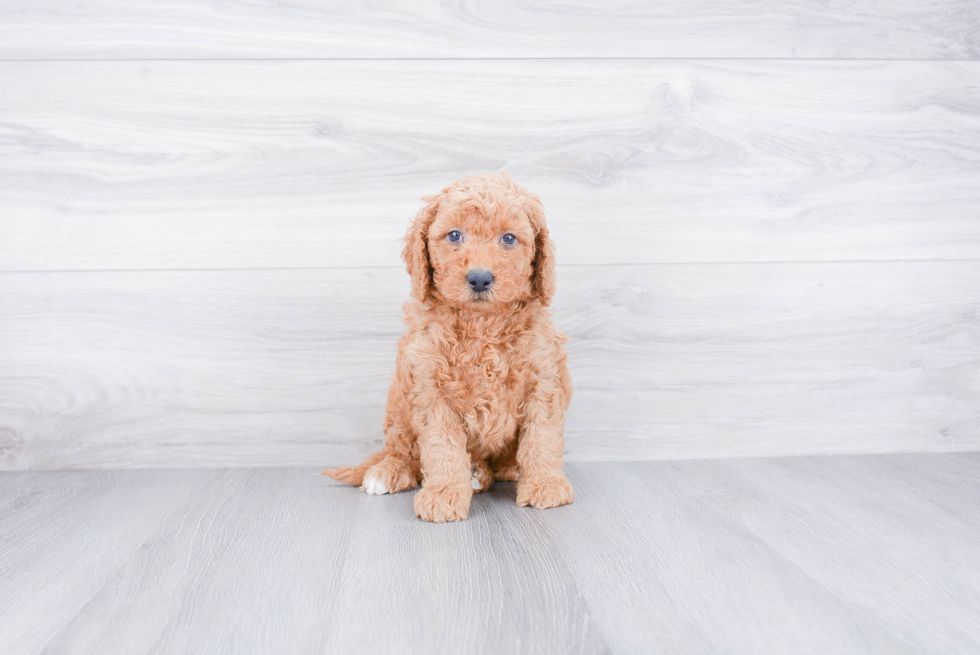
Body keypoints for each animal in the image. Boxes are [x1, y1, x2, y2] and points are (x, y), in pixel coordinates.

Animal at [320, 173, 576, 524]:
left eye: (509, 239)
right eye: (455, 235)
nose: (480, 279)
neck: (482, 324)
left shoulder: (543, 379)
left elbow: (542, 437)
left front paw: (545, 484)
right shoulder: (430, 387)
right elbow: (442, 447)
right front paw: (443, 494)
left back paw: (490, 471)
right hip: (399, 402)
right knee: (400, 449)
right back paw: (388, 472)